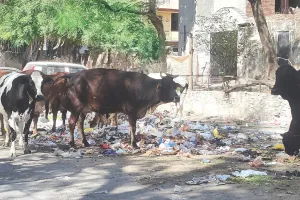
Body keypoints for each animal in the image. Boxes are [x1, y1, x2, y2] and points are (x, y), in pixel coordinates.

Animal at [49, 68, 180, 148]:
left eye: (174, 86)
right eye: (166, 87)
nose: (177, 97)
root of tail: (72, 76)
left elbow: (131, 128)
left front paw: (130, 142)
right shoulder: (132, 111)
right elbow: (133, 127)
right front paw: (134, 144)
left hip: (83, 110)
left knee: (80, 124)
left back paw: (85, 142)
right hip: (77, 107)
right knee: (72, 123)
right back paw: (72, 143)